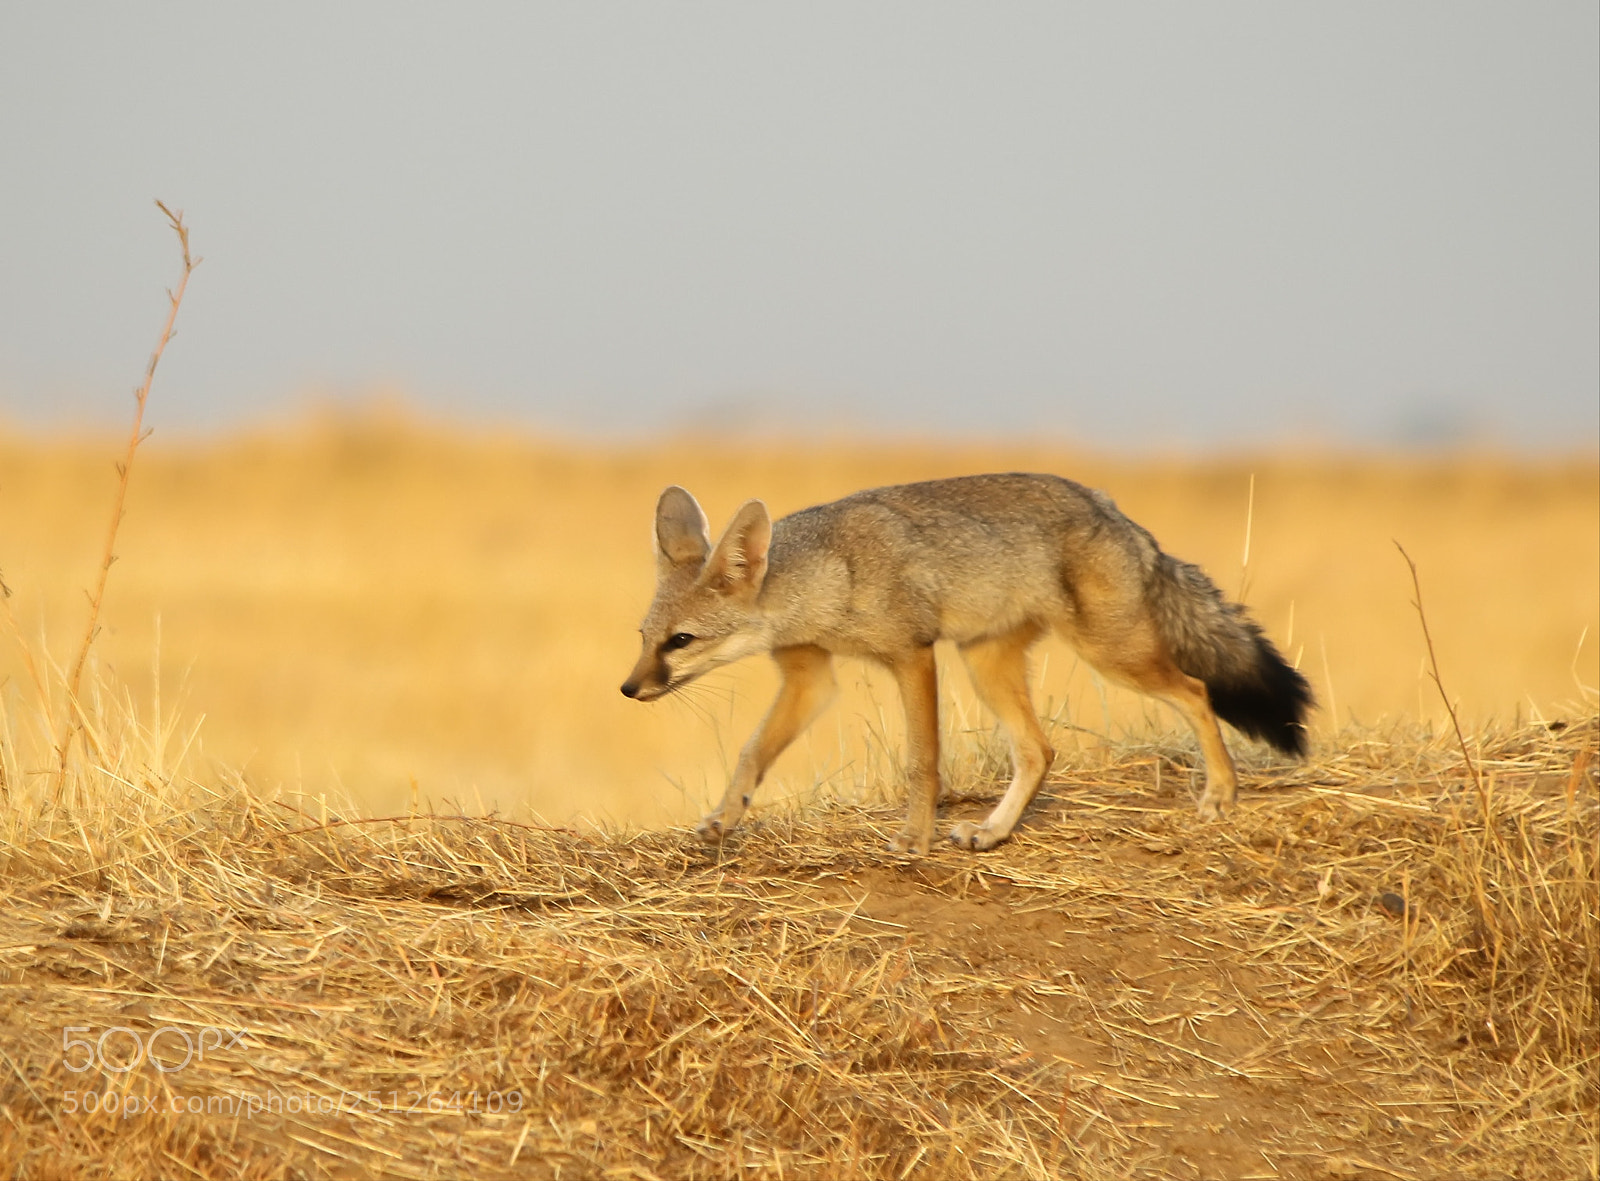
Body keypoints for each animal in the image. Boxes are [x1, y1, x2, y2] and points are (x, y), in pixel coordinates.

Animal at [621, 474, 1313, 855]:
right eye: (645, 636)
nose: (628, 688)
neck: (826, 577)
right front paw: (724, 817)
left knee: (1196, 691)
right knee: (1039, 750)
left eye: (680, 641)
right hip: (989, 667)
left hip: (1112, 654)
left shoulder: (912, 655)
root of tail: (1113, 509)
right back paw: (993, 832)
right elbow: (751, 753)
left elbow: (922, 761)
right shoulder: (810, 678)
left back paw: (1220, 793)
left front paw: (915, 839)